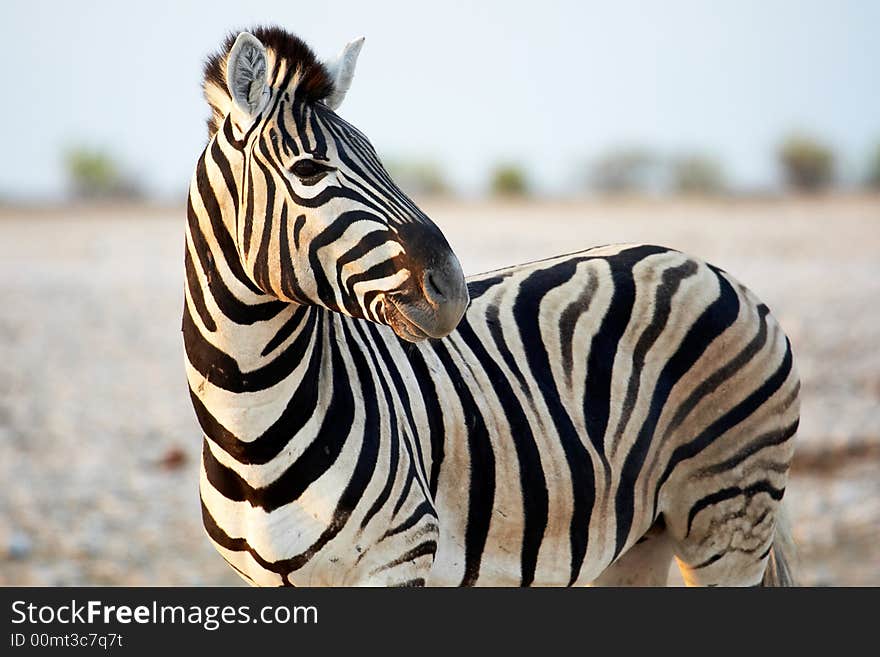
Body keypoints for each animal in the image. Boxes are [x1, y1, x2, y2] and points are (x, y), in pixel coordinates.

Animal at [186, 25, 796, 588]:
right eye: (309, 170)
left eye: (381, 160)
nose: (453, 288)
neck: (250, 426)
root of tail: (712, 270)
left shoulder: (399, 554)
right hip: (643, 539)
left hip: (729, 513)